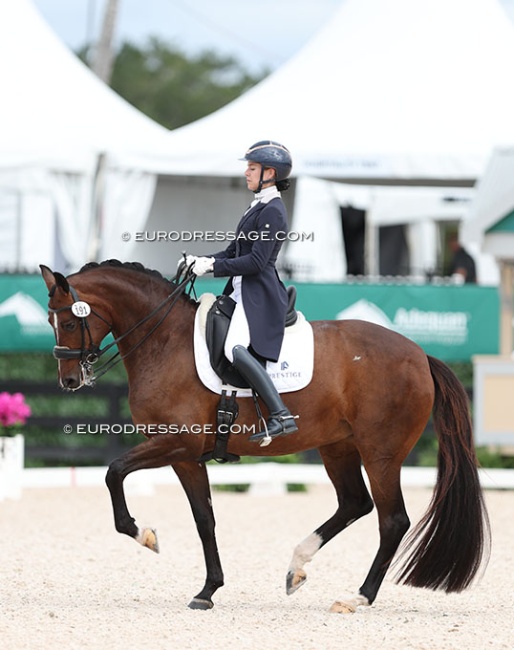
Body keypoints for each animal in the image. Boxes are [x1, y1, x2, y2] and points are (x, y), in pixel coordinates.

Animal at [40, 260, 490, 613]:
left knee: (392, 520)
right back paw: (296, 568)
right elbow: (204, 519)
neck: (164, 341)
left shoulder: (176, 443)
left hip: (380, 453)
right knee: (354, 504)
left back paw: (358, 596)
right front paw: (207, 590)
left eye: (69, 320)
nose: (69, 380)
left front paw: (144, 535)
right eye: (50, 320)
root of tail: (420, 355)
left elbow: (114, 472)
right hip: (337, 446)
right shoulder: (185, 456)